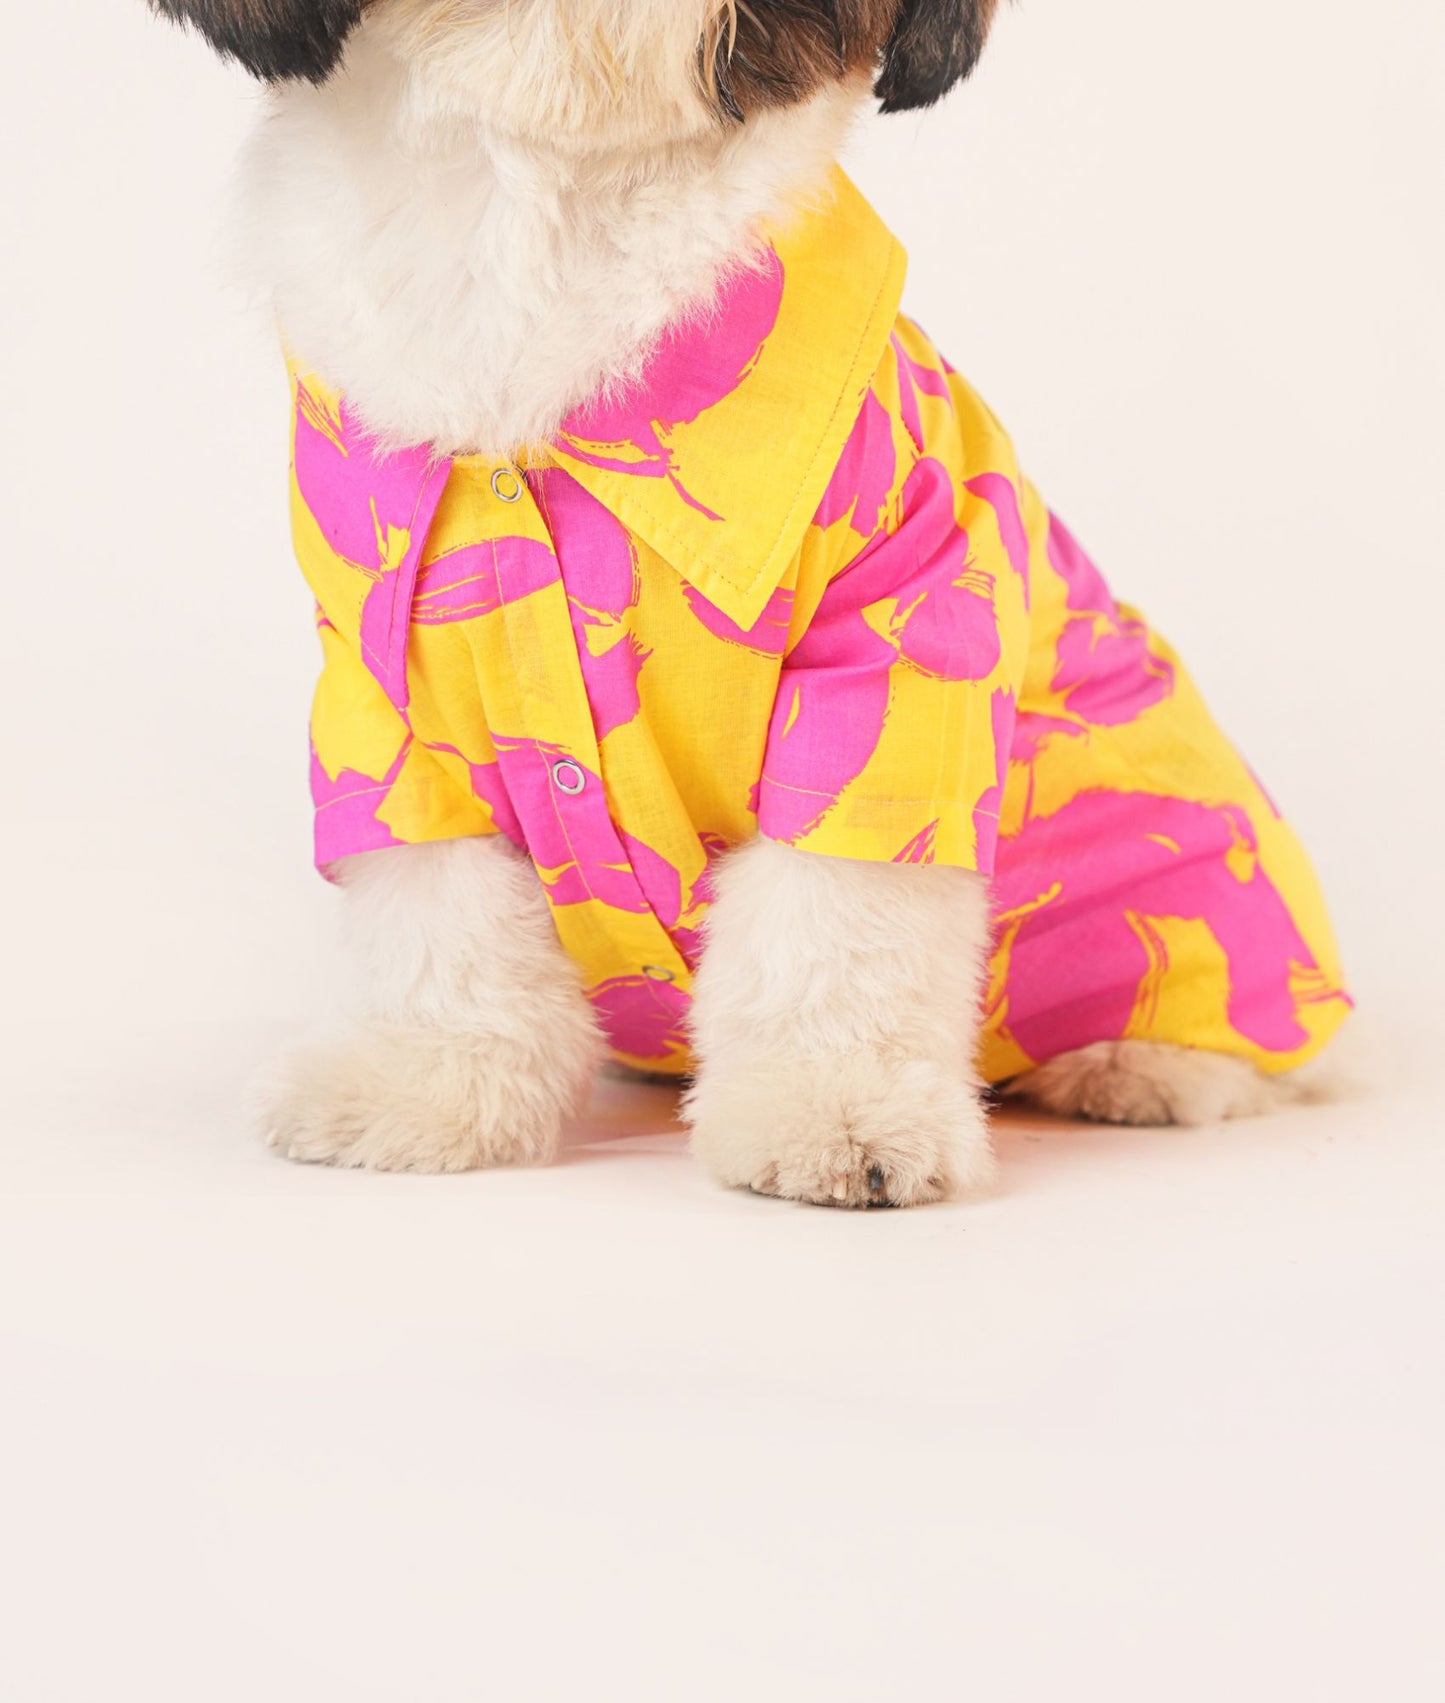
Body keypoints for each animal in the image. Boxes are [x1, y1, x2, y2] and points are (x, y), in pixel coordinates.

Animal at [152, 0, 1347, 1205]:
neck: (544, 211)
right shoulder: (386, 688)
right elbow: (438, 899)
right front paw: (427, 1080)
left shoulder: (900, 637)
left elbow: (838, 904)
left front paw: (836, 1109)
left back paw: (1144, 1064)